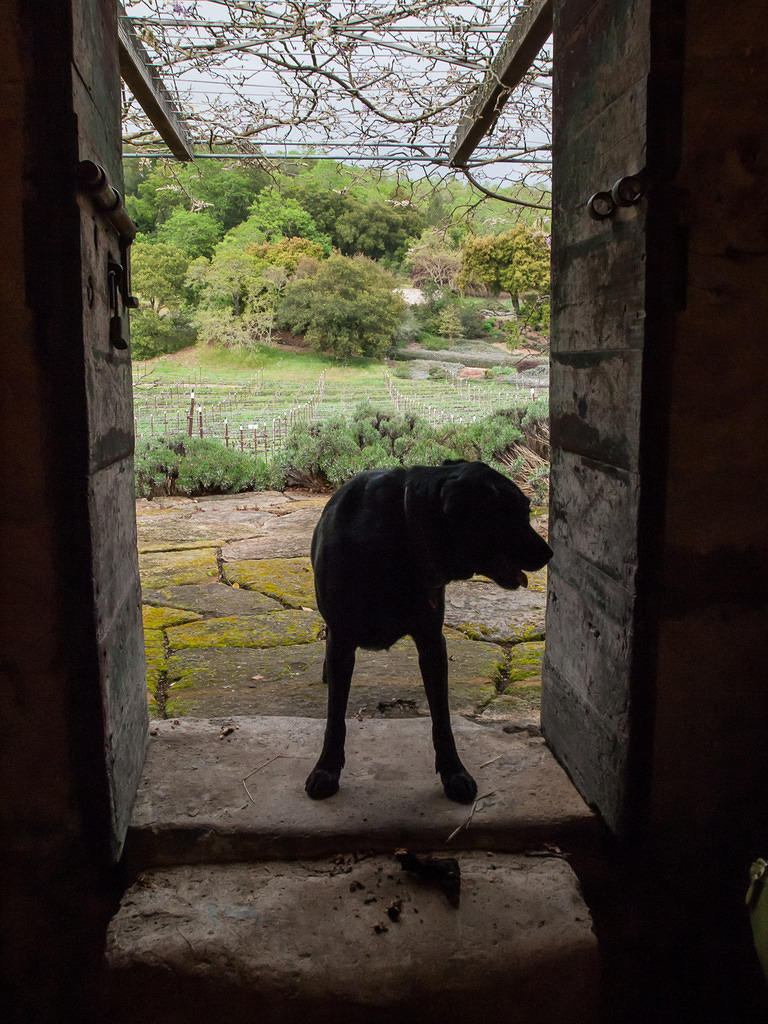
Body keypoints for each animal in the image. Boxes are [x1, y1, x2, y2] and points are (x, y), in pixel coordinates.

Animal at [303, 460, 548, 802]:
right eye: (515, 513)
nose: (550, 553)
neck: (401, 531)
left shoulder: (432, 641)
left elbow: (441, 719)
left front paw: (453, 772)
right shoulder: (342, 637)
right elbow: (335, 717)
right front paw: (326, 769)